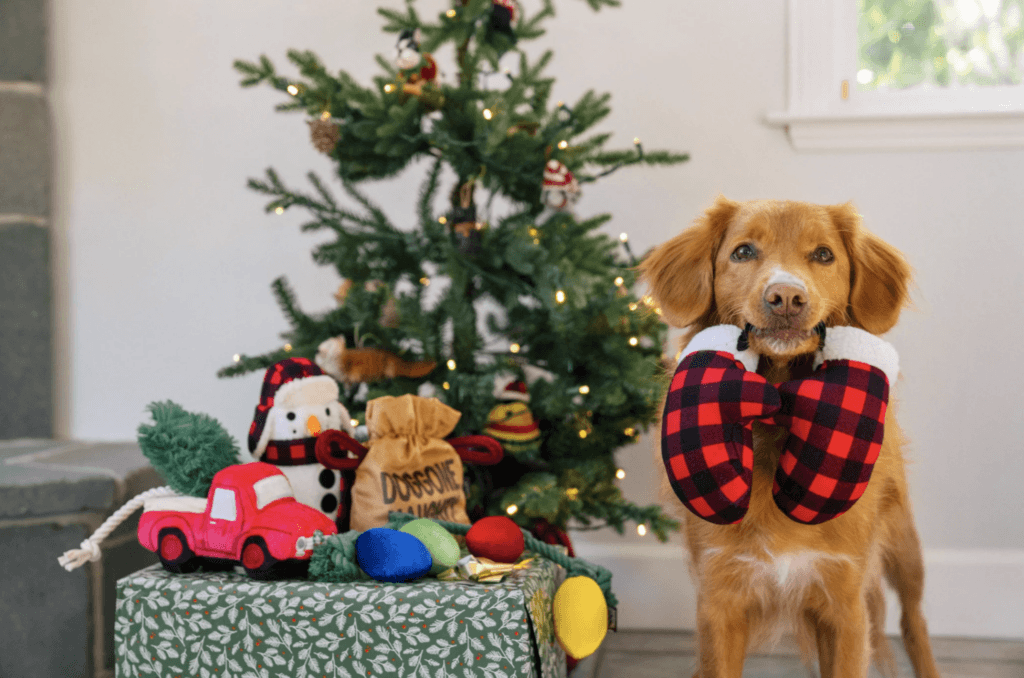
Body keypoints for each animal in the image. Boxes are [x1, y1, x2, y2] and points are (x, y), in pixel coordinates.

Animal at [643, 196, 937, 678]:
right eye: (743, 252)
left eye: (823, 255)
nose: (786, 298)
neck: (781, 412)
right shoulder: (720, 601)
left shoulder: (844, 604)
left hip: (904, 550)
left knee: (915, 623)